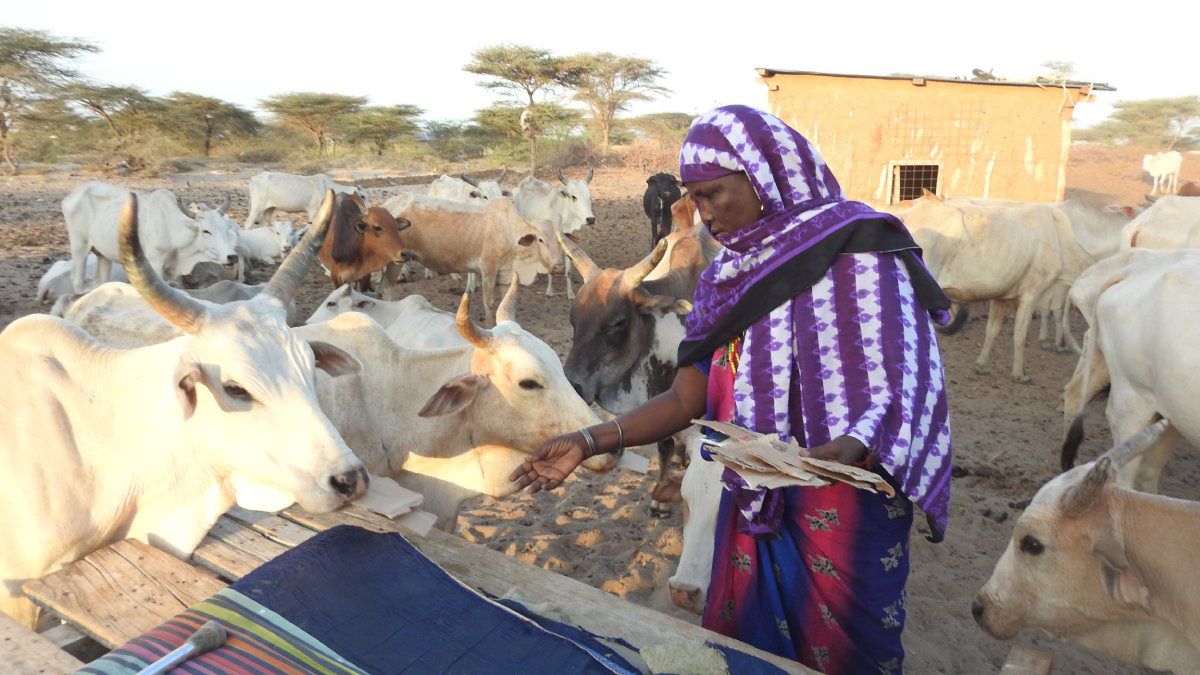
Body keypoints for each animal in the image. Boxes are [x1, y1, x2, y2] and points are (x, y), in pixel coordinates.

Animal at [63, 181, 241, 291]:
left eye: (225, 228)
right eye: (206, 231)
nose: (232, 256)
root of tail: (73, 195)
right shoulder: (155, 264)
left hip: (103, 255)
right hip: (79, 247)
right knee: (77, 280)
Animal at [511, 168, 595, 296]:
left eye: (589, 197)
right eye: (573, 197)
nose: (590, 219)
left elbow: (568, 270)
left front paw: (570, 293)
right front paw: (550, 291)